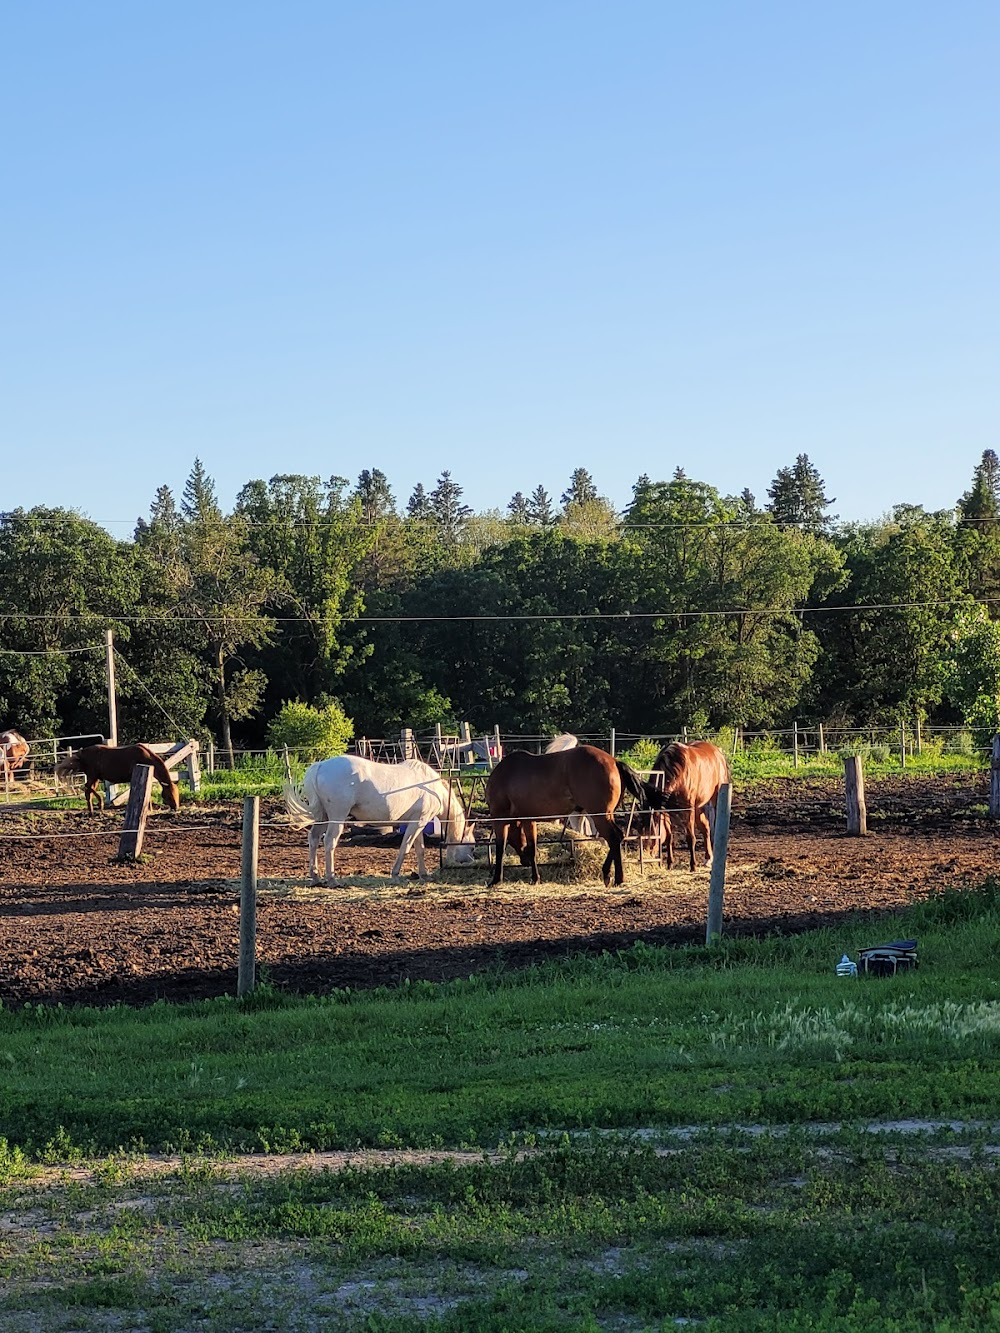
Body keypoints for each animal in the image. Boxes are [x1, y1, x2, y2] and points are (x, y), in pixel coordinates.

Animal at [284, 762, 480, 885]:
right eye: (471, 847)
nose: (471, 861)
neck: (433, 788)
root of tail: (320, 766)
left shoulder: (417, 823)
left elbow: (419, 849)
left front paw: (424, 874)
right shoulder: (419, 822)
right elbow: (406, 847)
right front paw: (395, 874)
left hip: (323, 817)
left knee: (314, 839)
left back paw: (316, 877)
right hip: (337, 817)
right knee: (329, 842)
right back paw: (332, 879)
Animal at [650, 741, 730, 874]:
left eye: (654, 831)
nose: (649, 852)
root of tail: (718, 751)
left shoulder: (688, 809)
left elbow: (690, 838)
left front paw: (693, 865)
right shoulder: (666, 811)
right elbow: (669, 837)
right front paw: (669, 864)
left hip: (714, 800)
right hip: (699, 807)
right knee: (705, 828)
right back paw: (708, 858)